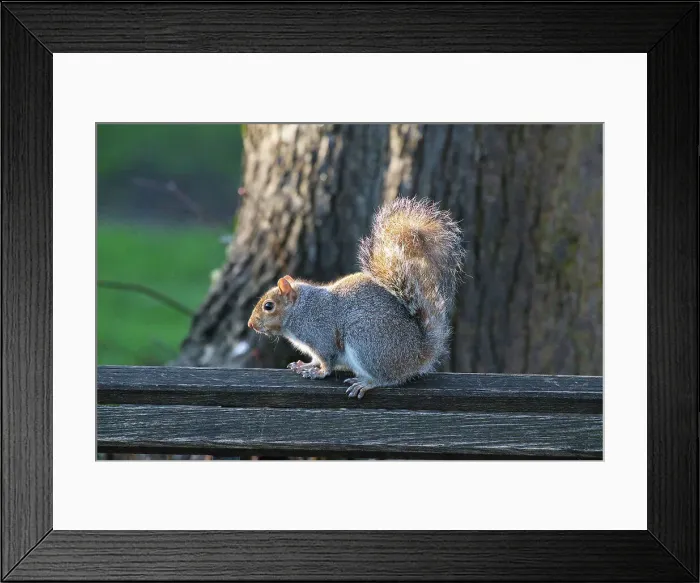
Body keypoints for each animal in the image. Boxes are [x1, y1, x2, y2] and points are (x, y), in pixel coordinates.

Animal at [247, 197, 465, 399]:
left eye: (268, 306)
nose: (251, 324)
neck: (301, 309)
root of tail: (418, 354)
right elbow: (315, 359)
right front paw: (305, 365)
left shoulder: (320, 334)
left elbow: (326, 360)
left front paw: (318, 373)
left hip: (365, 340)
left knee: (389, 378)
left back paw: (366, 383)